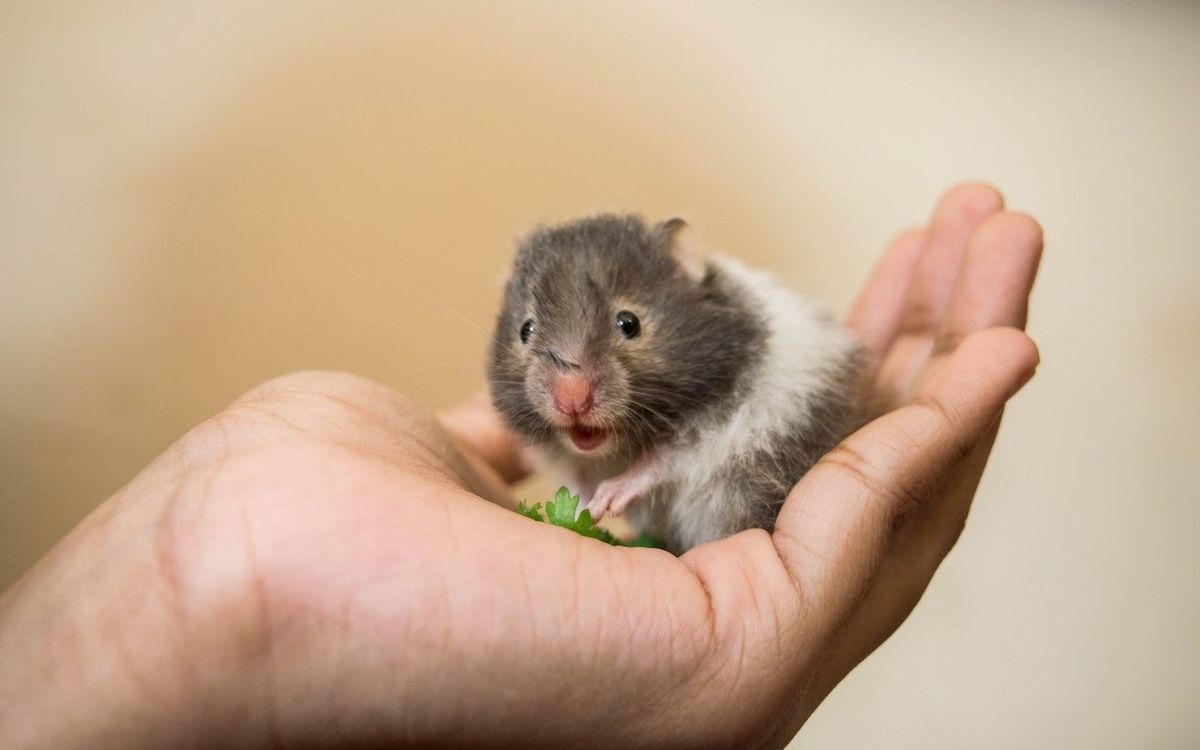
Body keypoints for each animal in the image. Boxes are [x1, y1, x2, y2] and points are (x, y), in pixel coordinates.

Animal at [488, 214, 863, 553]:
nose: (571, 400)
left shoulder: (719, 428)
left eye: (629, 323)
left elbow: (661, 461)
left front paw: (608, 497)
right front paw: (585, 507)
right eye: (525, 330)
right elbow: (576, 478)